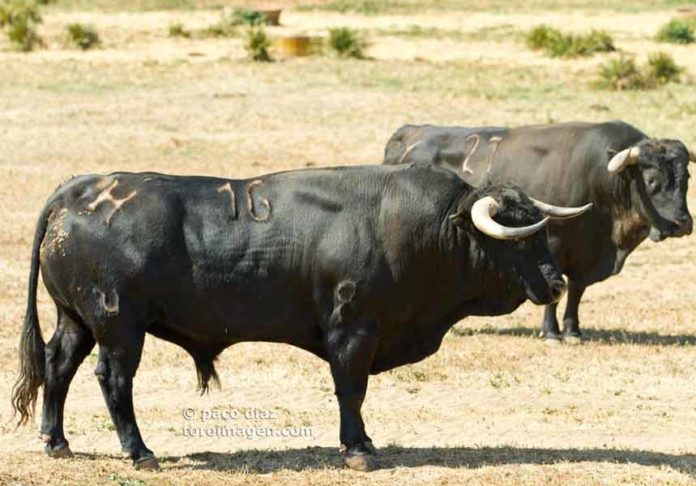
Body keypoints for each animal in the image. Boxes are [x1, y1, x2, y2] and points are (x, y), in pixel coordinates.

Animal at [10, 163, 588, 470]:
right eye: (519, 235)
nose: (557, 282)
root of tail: (79, 190)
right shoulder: (353, 331)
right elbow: (351, 389)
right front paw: (358, 448)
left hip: (76, 320)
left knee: (58, 365)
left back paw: (56, 442)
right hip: (119, 326)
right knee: (113, 379)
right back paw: (139, 451)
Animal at [384, 119, 692, 344]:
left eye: (687, 178)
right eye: (651, 181)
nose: (683, 223)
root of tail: (408, 133)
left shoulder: (584, 255)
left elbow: (575, 290)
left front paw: (573, 331)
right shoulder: (553, 245)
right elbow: (553, 289)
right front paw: (552, 332)